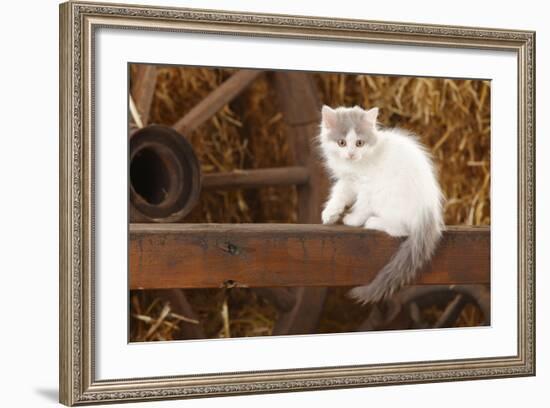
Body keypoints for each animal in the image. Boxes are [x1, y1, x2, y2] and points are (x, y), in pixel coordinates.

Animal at [320, 105, 444, 302]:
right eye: (341, 143)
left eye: (359, 143)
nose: (351, 154)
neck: (357, 164)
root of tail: (429, 214)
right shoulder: (348, 181)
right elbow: (339, 194)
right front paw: (330, 214)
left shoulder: (368, 186)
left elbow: (362, 206)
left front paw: (353, 220)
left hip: (388, 198)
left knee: (400, 229)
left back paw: (373, 222)